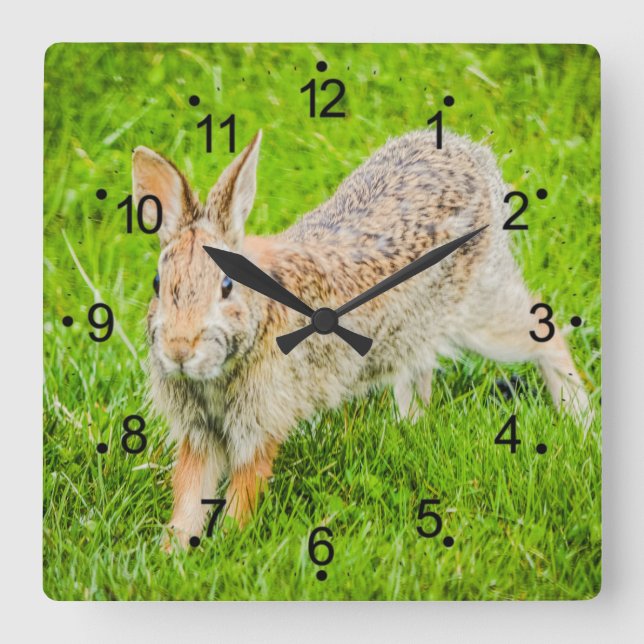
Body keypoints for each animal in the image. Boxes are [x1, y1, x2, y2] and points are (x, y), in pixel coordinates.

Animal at [133, 128, 592, 550]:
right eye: (157, 284)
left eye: (227, 286)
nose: (179, 350)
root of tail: (474, 157)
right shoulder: (198, 433)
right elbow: (190, 491)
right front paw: (175, 550)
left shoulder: (260, 423)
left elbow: (244, 486)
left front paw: (228, 539)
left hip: (480, 313)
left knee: (545, 333)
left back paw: (579, 418)